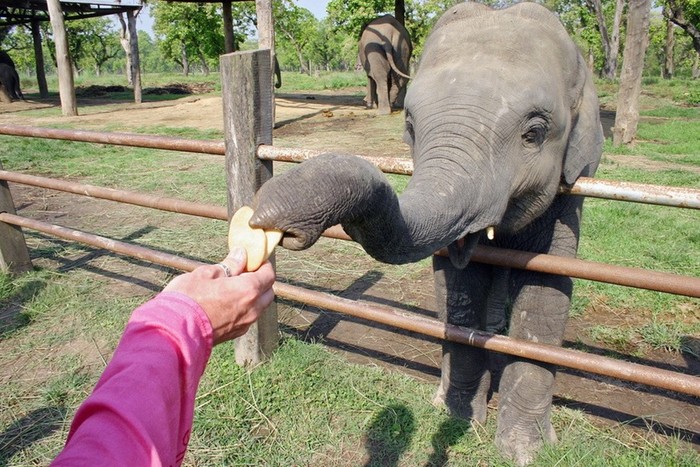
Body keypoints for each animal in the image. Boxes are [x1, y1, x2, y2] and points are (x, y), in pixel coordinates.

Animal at [250, 2, 600, 464]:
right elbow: (456, 286)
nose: (267, 217)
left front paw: (525, 449)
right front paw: (456, 416)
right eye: (412, 128)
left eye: (535, 133)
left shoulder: (572, 186)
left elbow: (547, 290)